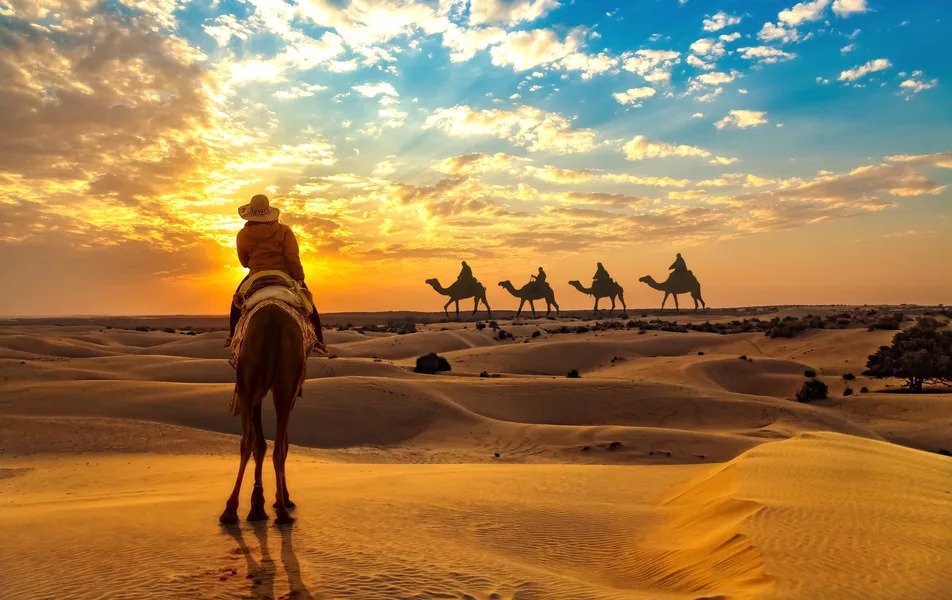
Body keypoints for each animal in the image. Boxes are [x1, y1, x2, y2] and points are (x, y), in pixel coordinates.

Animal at [220, 304, 304, 524]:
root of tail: (273, 321)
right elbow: (272, 443)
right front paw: (262, 503)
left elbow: (259, 443)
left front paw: (257, 504)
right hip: (283, 384)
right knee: (277, 445)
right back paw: (282, 510)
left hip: (249, 383)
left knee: (248, 440)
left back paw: (231, 510)